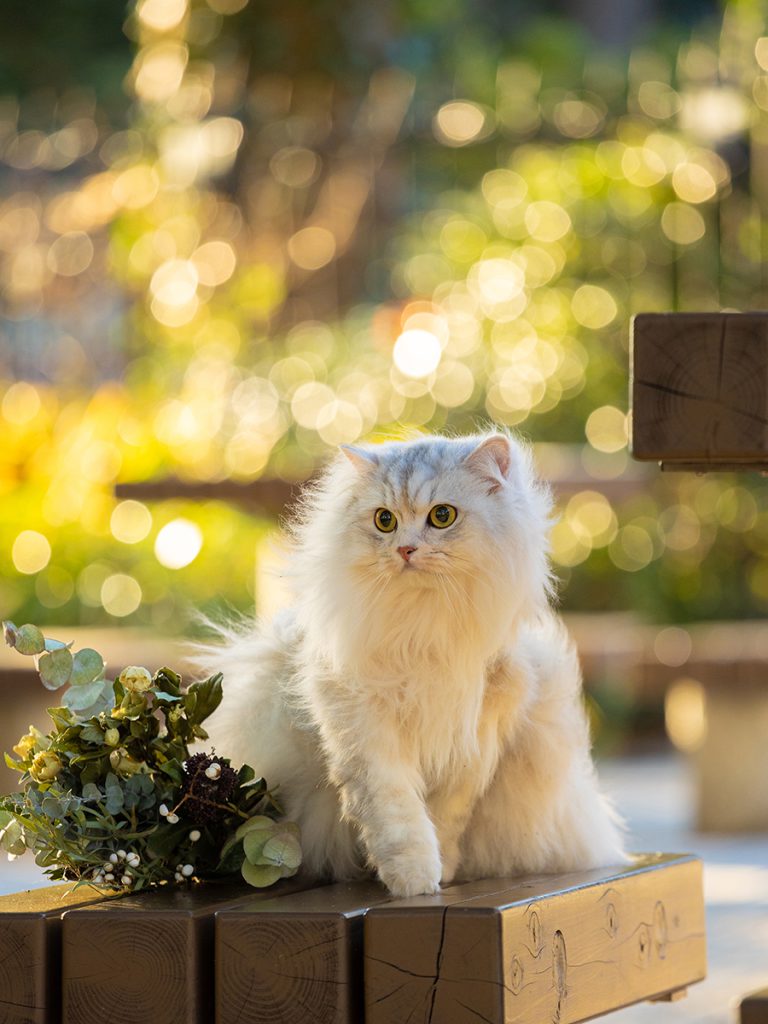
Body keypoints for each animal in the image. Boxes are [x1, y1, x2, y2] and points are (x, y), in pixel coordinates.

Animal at [198, 432, 626, 897]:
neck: (423, 629)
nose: (405, 549)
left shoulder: (472, 742)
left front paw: (443, 875)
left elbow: (444, 820)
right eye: (385, 521)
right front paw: (415, 882)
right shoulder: (364, 729)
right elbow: (397, 817)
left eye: (442, 516)